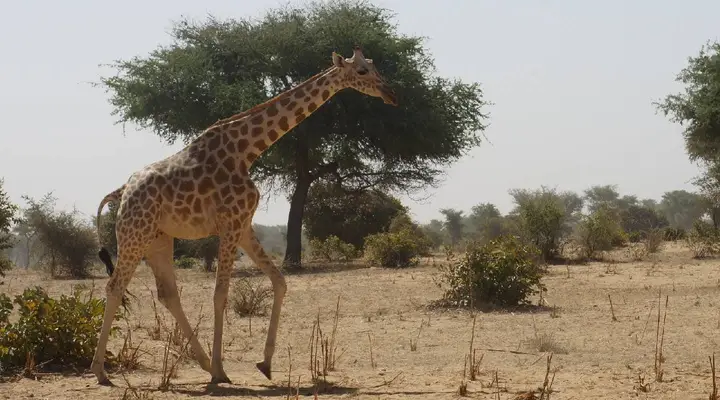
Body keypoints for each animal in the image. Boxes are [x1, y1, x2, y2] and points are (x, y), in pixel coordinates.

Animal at [90, 46, 397, 386]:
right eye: (361, 71)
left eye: (374, 66)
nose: (391, 93)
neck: (247, 150)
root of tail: (121, 192)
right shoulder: (230, 223)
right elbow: (220, 293)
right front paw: (222, 370)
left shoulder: (244, 225)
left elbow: (280, 281)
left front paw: (264, 363)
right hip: (134, 234)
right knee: (115, 287)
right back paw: (100, 371)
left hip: (159, 238)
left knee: (168, 294)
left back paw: (201, 363)